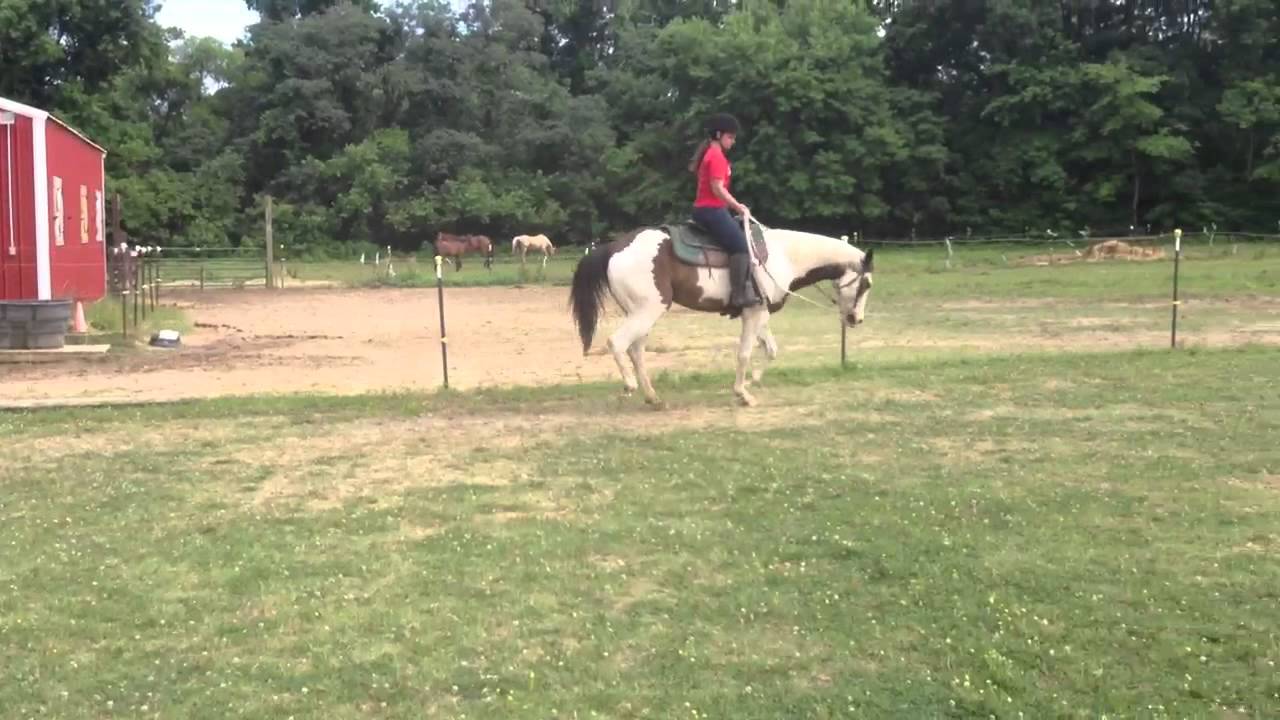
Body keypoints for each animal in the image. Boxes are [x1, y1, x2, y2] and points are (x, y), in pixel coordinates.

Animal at [569, 219, 874, 407]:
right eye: (866, 284)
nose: (856, 319)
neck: (784, 256)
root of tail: (614, 247)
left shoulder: (760, 313)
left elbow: (771, 349)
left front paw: (753, 381)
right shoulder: (753, 313)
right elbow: (744, 353)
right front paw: (743, 394)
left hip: (640, 313)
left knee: (636, 351)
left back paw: (653, 397)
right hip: (647, 311)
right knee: (617, 343)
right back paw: (630, 386)